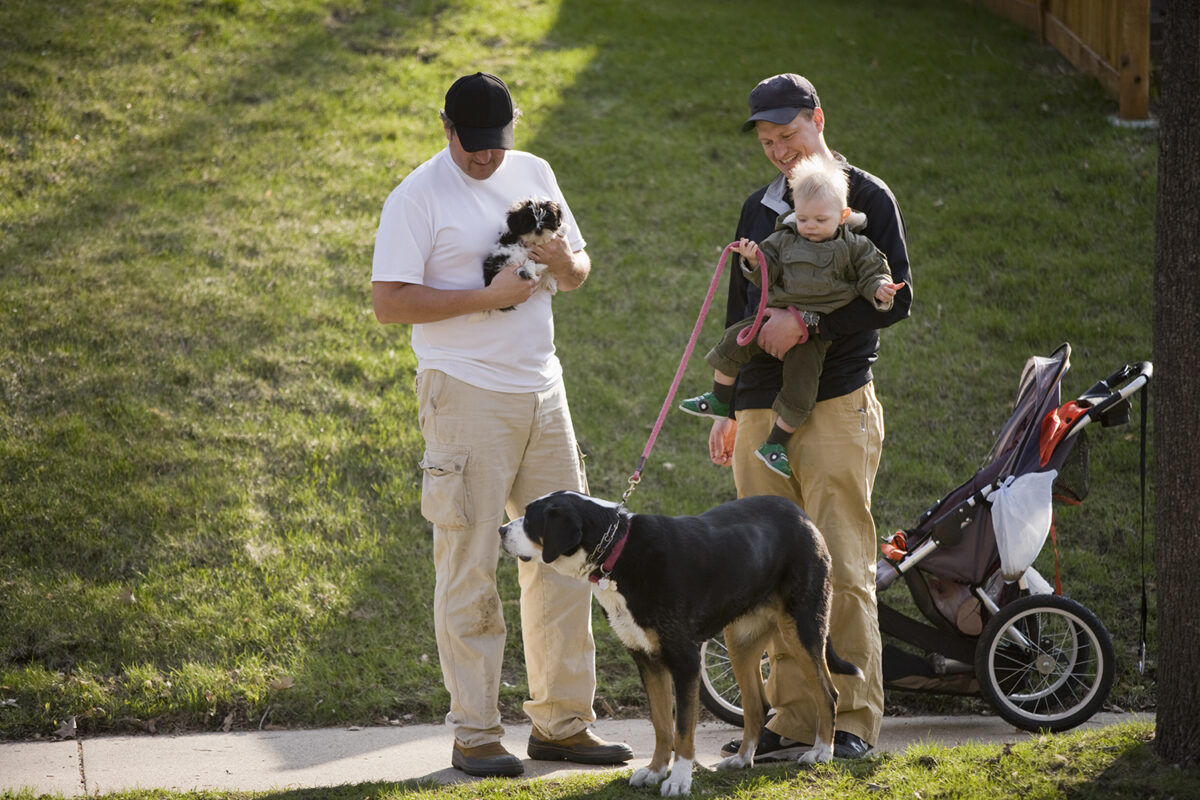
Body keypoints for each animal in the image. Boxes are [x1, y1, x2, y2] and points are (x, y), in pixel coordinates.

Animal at [499, 491, 864, 796]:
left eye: (530, 519)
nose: (501, 529)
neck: (617, 551)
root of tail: (801, 514)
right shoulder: (647, 660)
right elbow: (663, 725)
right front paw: (654, 771)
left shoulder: (686, 660)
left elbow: (684, 729)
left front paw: (678, 780)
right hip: (740, 641)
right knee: (756, 705)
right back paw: (744, 758)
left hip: (802, 627)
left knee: (828, 693)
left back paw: (821, 751)